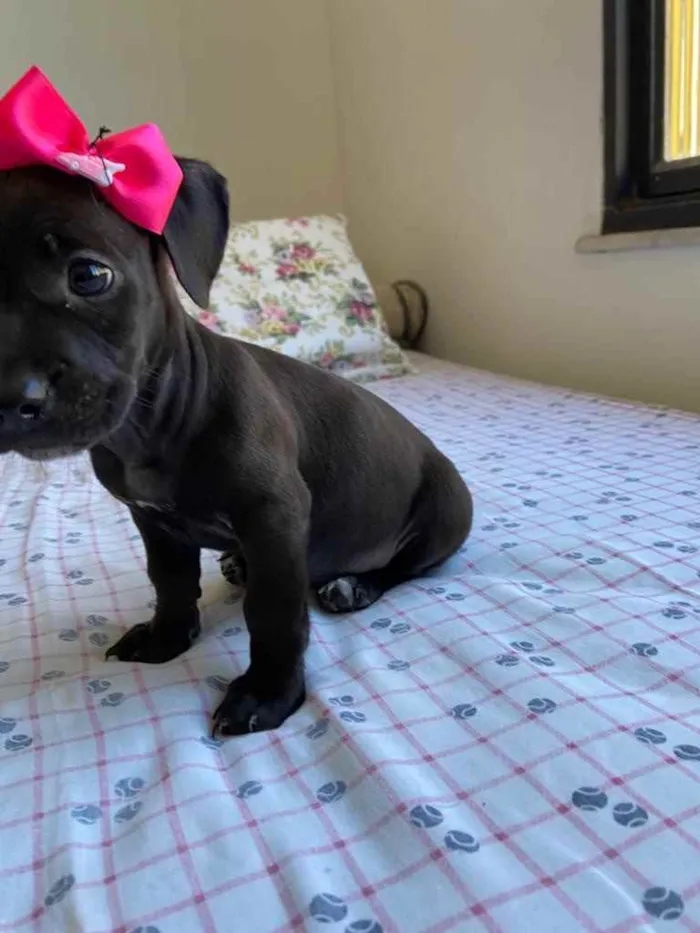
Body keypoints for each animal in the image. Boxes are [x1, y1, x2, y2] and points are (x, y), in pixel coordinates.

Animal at [0, 159, 473, 735]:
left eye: (88, 275)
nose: (7, 397)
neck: (154, 424)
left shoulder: (275, 516)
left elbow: (273, 613)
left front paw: (268, 693)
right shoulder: (153, 522)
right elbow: (171, 581)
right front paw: (167, 637)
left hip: (444, 514)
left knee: (405, 567)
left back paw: (355, 584)